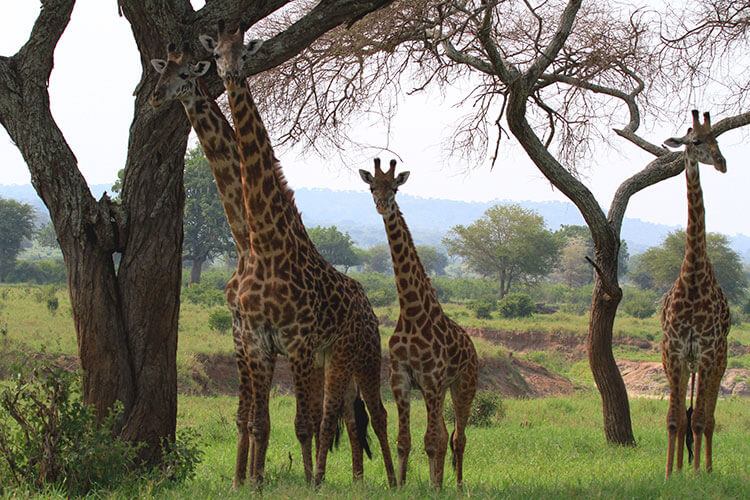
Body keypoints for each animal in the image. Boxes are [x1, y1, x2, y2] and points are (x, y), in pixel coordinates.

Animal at [200, 24, 400, 488]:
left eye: (245, 51)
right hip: (330, 358)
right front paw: (252, 483)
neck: (265, 247)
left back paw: (387, 479)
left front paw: (307, 480)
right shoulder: (257, 340)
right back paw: (357, 478)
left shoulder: (296, 342)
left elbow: (302, 422)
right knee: (349, 416)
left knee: (369, 414)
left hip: (354, 354)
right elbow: (258, 420)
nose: (231, 74)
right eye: (216, 54)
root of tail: (367, 302)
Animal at [362, 158, 478, 486]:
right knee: (444, 435)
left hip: (464, 385)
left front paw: (434, 487)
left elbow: (432, 441)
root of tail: (472, 346)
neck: (412, 312)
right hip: (440, 390)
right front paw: (402, 486)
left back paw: (458, 486)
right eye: (372, 187)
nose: (382, 204)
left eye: (395, 187)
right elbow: (405, 441)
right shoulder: (401, 379)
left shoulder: (431, 380)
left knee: (458, 438)